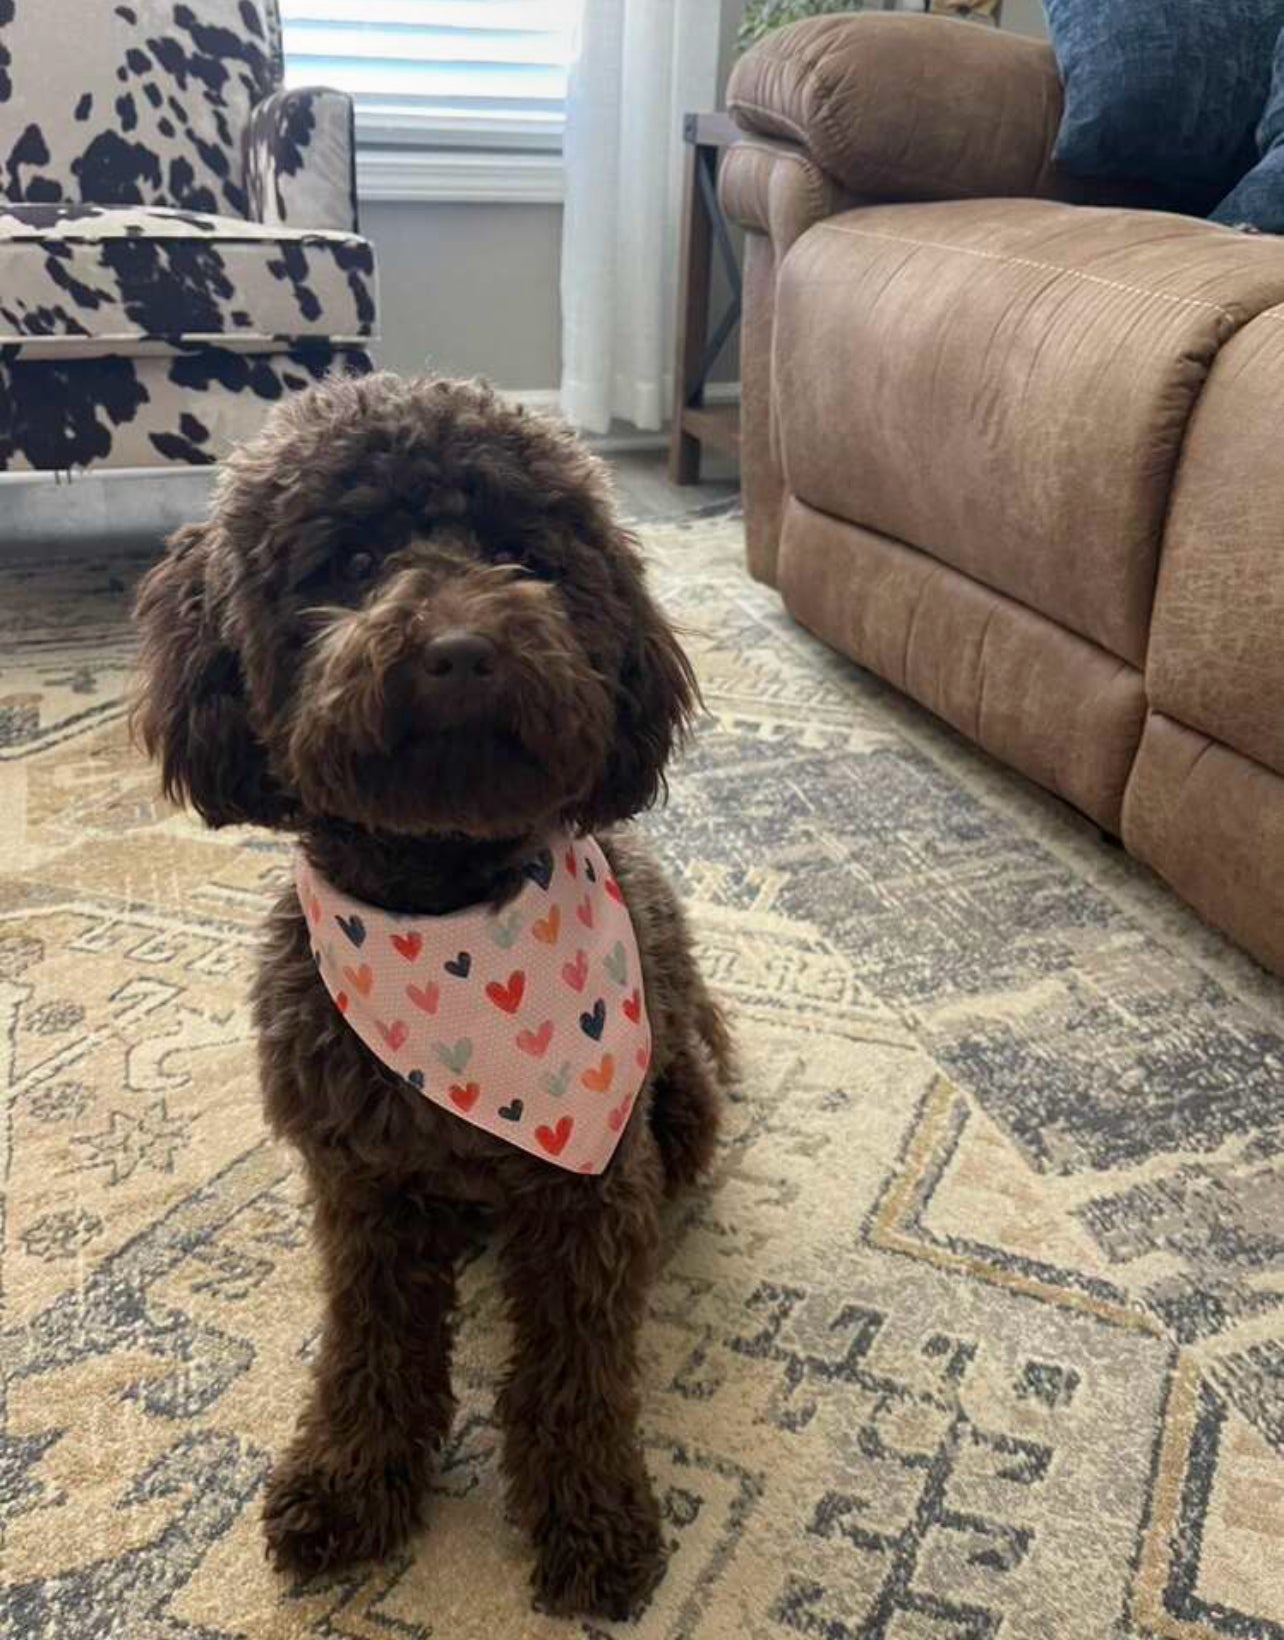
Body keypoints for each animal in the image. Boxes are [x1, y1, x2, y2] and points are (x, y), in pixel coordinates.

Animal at [132, 372, 734, 1613]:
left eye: (521, 554)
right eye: (354, 560)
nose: (460, 651)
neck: (444, 913)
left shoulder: (589, 1190)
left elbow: (577, 1364)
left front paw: (592, 1516)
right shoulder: (359, 1181)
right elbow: (371, 1343)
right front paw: (350, 1480)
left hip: (683, 1107)